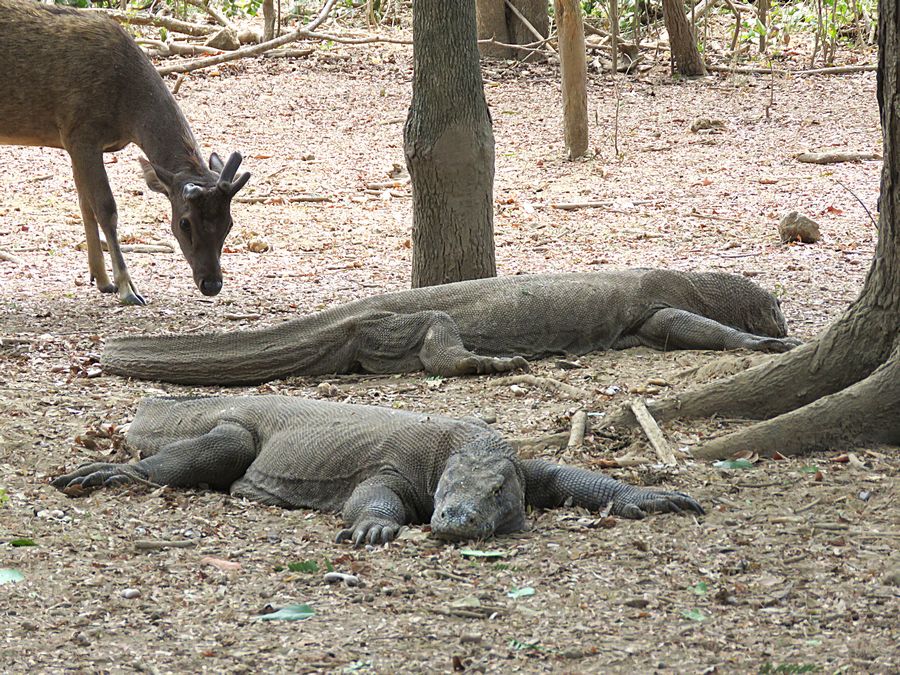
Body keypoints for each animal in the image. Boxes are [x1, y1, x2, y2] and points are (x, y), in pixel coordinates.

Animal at [0, 0, 250, 305]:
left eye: (229, 223)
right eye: (184, 223)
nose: (212, 284)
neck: (127, 112)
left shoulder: (73, 143)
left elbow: (86, 206)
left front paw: (102, 280)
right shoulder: (81, 132)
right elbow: (106, 208)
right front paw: (127, 288)